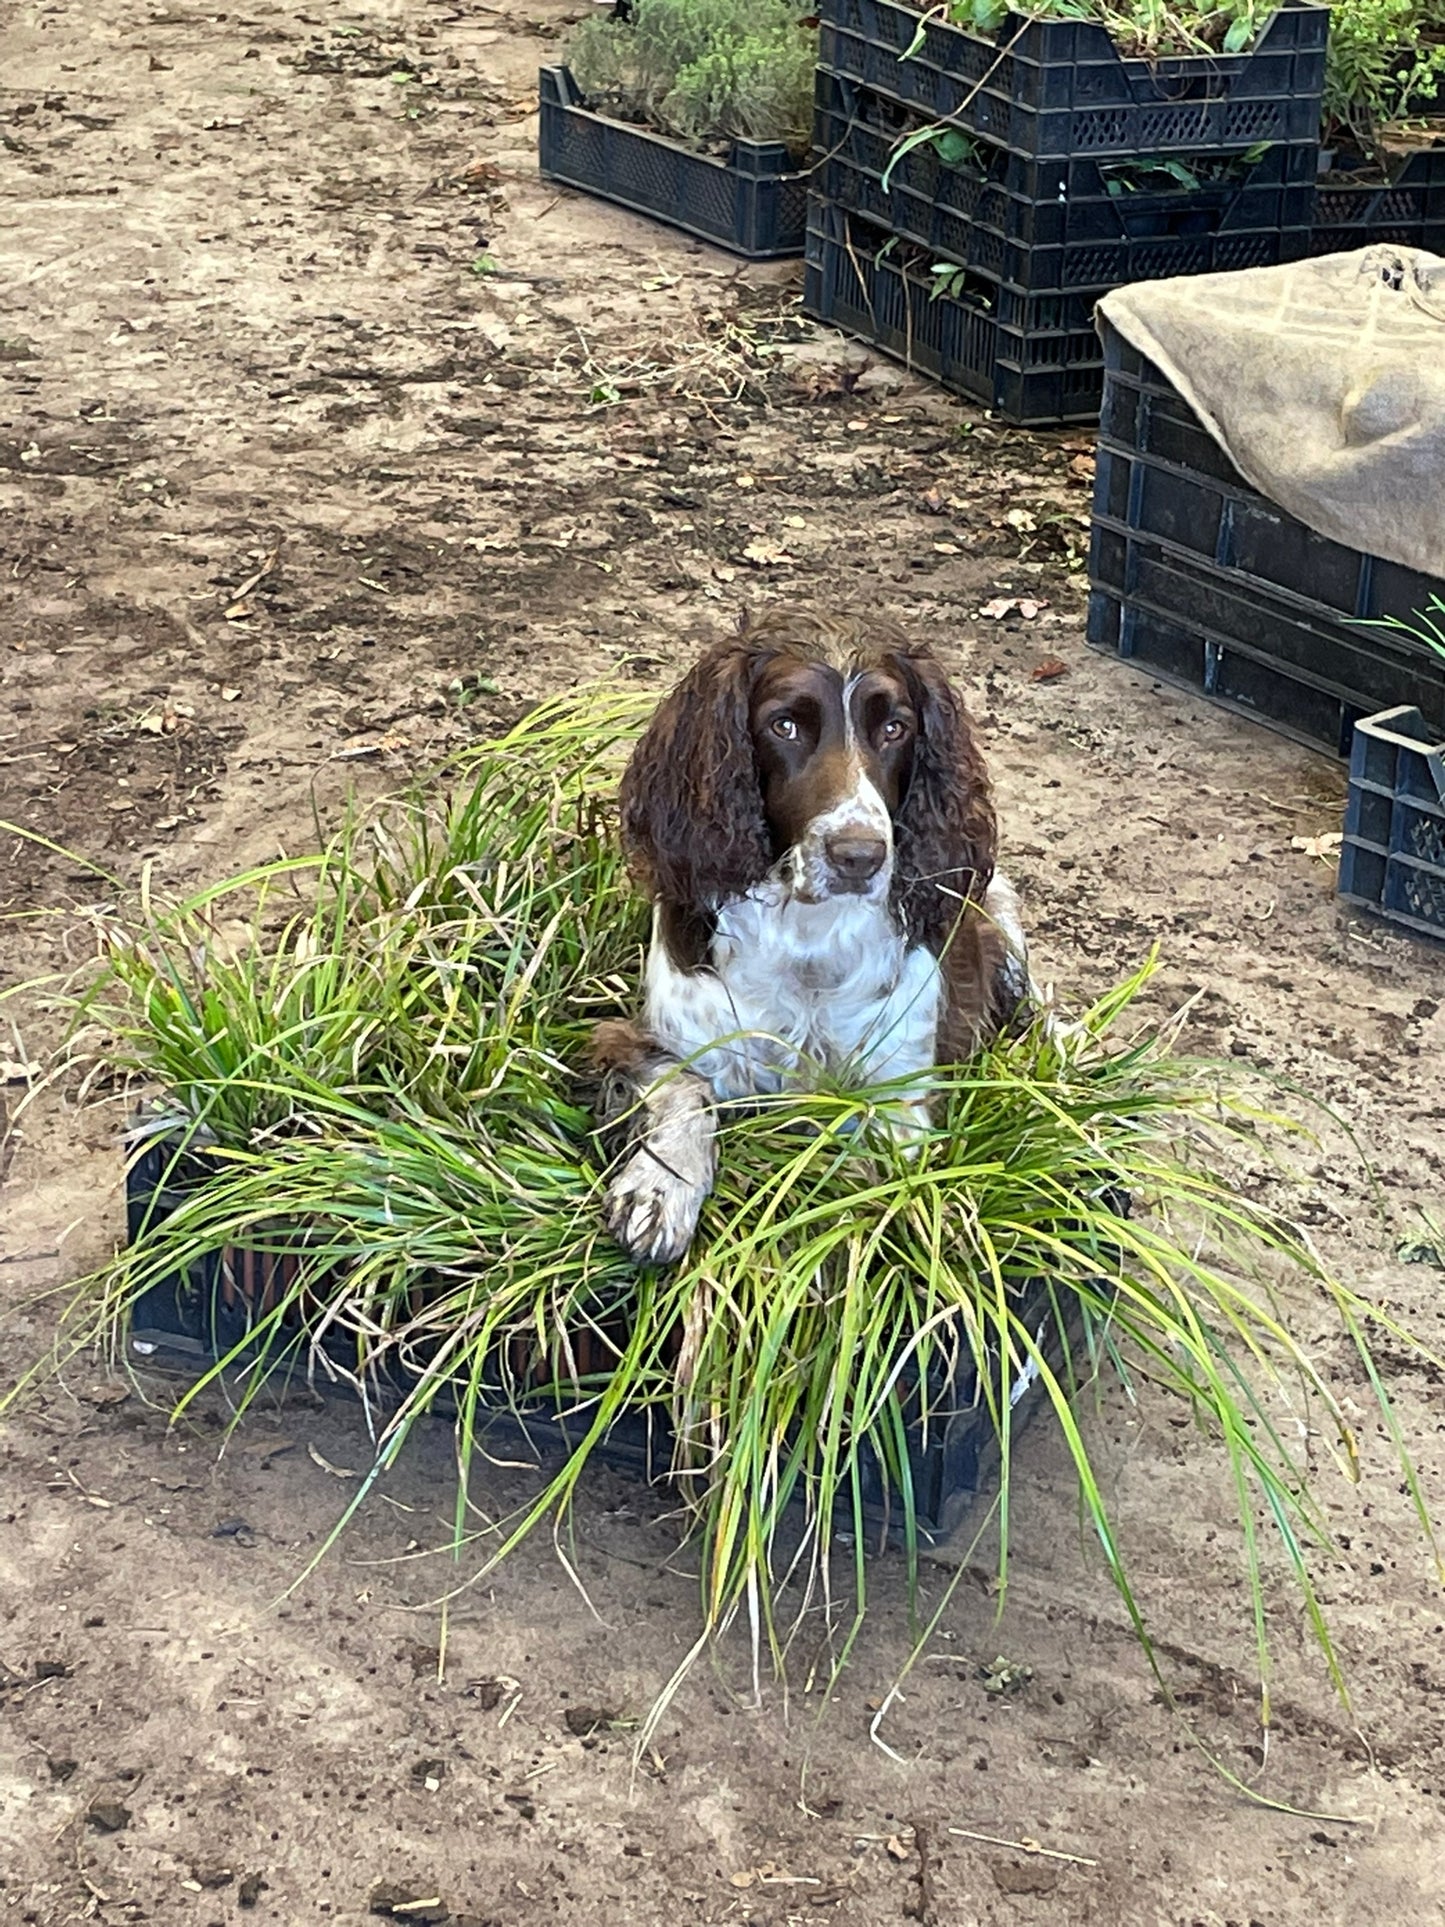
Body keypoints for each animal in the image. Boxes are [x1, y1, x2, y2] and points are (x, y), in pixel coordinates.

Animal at [593, 612, 1032, 1264]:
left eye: (895, 728)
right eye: (786, 725)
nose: (860, 856)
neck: (807, 938)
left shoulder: (899, 1096)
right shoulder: (651, 1037)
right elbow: (684, 1090)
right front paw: (659, 1189)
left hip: (1001, 909)